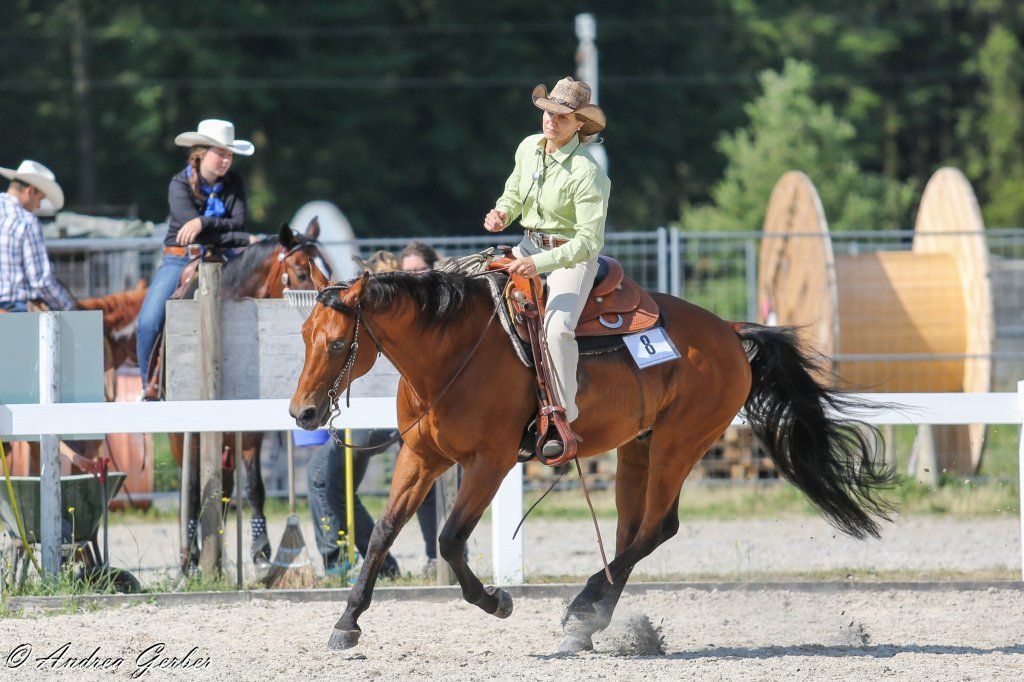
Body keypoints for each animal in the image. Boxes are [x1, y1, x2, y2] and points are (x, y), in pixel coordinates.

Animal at [289, 261, 894, 653]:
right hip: (639, 447)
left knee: (658, 526)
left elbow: (451, 539)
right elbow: (384, 533)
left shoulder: (489, 462)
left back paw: (582, 609)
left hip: (681, 442)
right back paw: (591, 620)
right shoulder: (421, 456)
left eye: (339, 343)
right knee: (631, 532)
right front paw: (347, 622)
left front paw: (497, 601)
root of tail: (728, 330)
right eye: (304, 334)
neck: (456, 352)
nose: (303, 413)